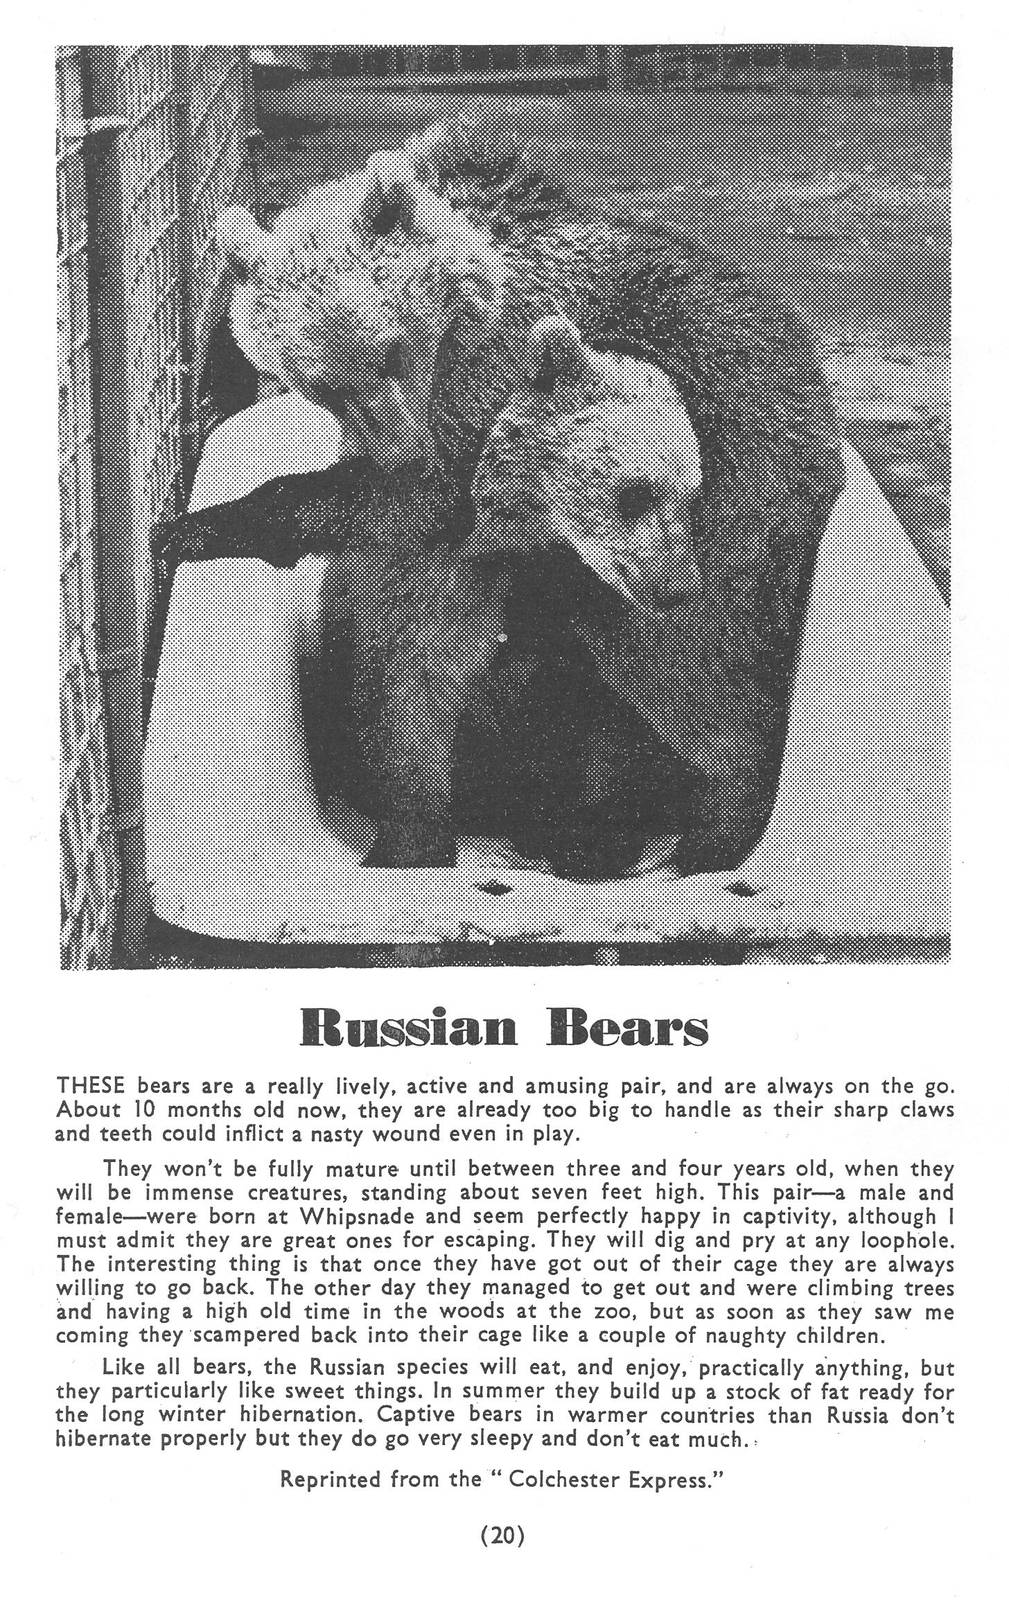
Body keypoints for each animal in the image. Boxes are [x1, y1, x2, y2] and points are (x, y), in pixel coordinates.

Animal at [157, 119, 846, 877]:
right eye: (325, 382)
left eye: (391, 351)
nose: (401, 445)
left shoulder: (482, 390)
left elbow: (405, 505)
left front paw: (194, 525)